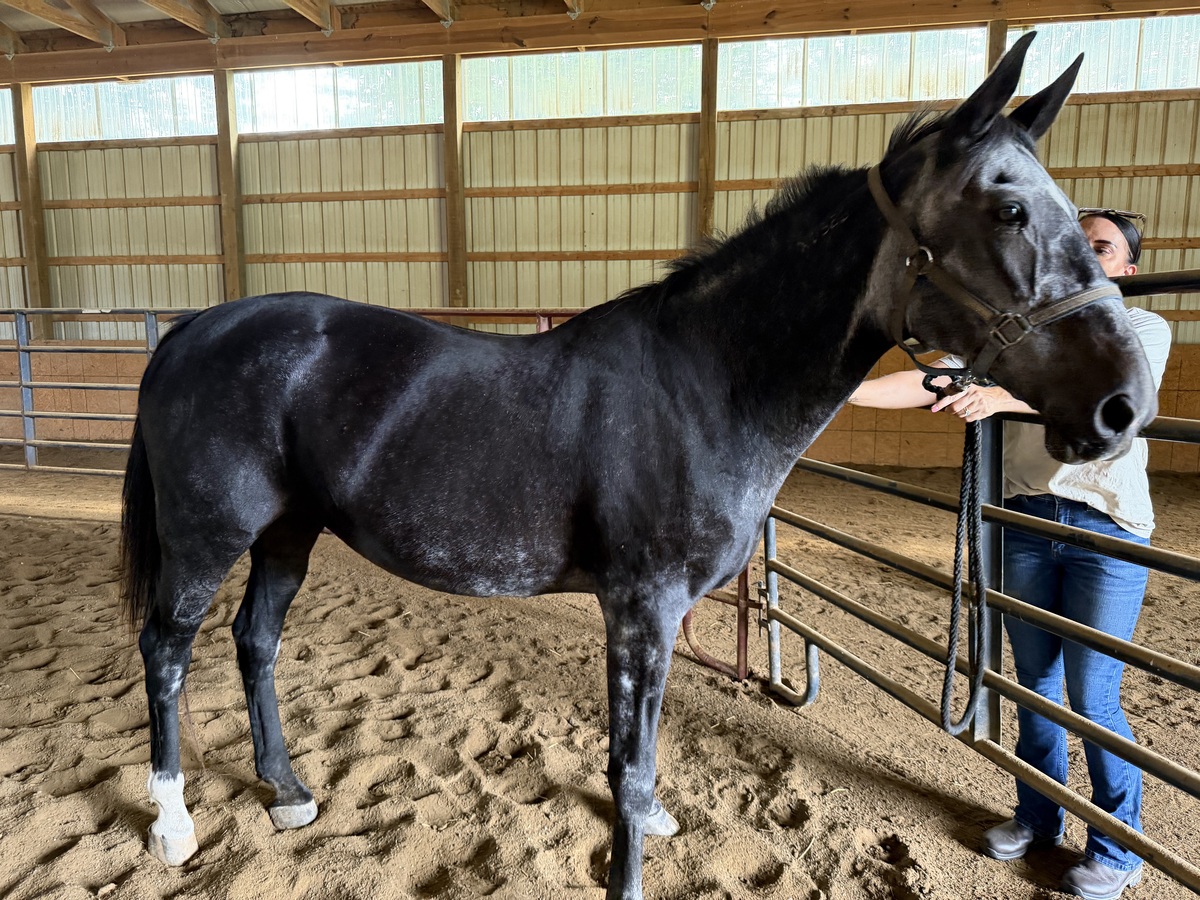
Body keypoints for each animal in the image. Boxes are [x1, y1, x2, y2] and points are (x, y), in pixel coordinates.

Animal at [120, 34, 1156, 900]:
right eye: (1010, 210)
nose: (1125, 406)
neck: (705, 381)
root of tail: (194, 331)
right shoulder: (640, 608)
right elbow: (630, 761)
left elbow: (645, 752)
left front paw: (652, 823)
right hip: (208, 536)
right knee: (167, 651)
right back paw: (172, 824)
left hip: (287, 532)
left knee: (255, 643)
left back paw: (288, 791)